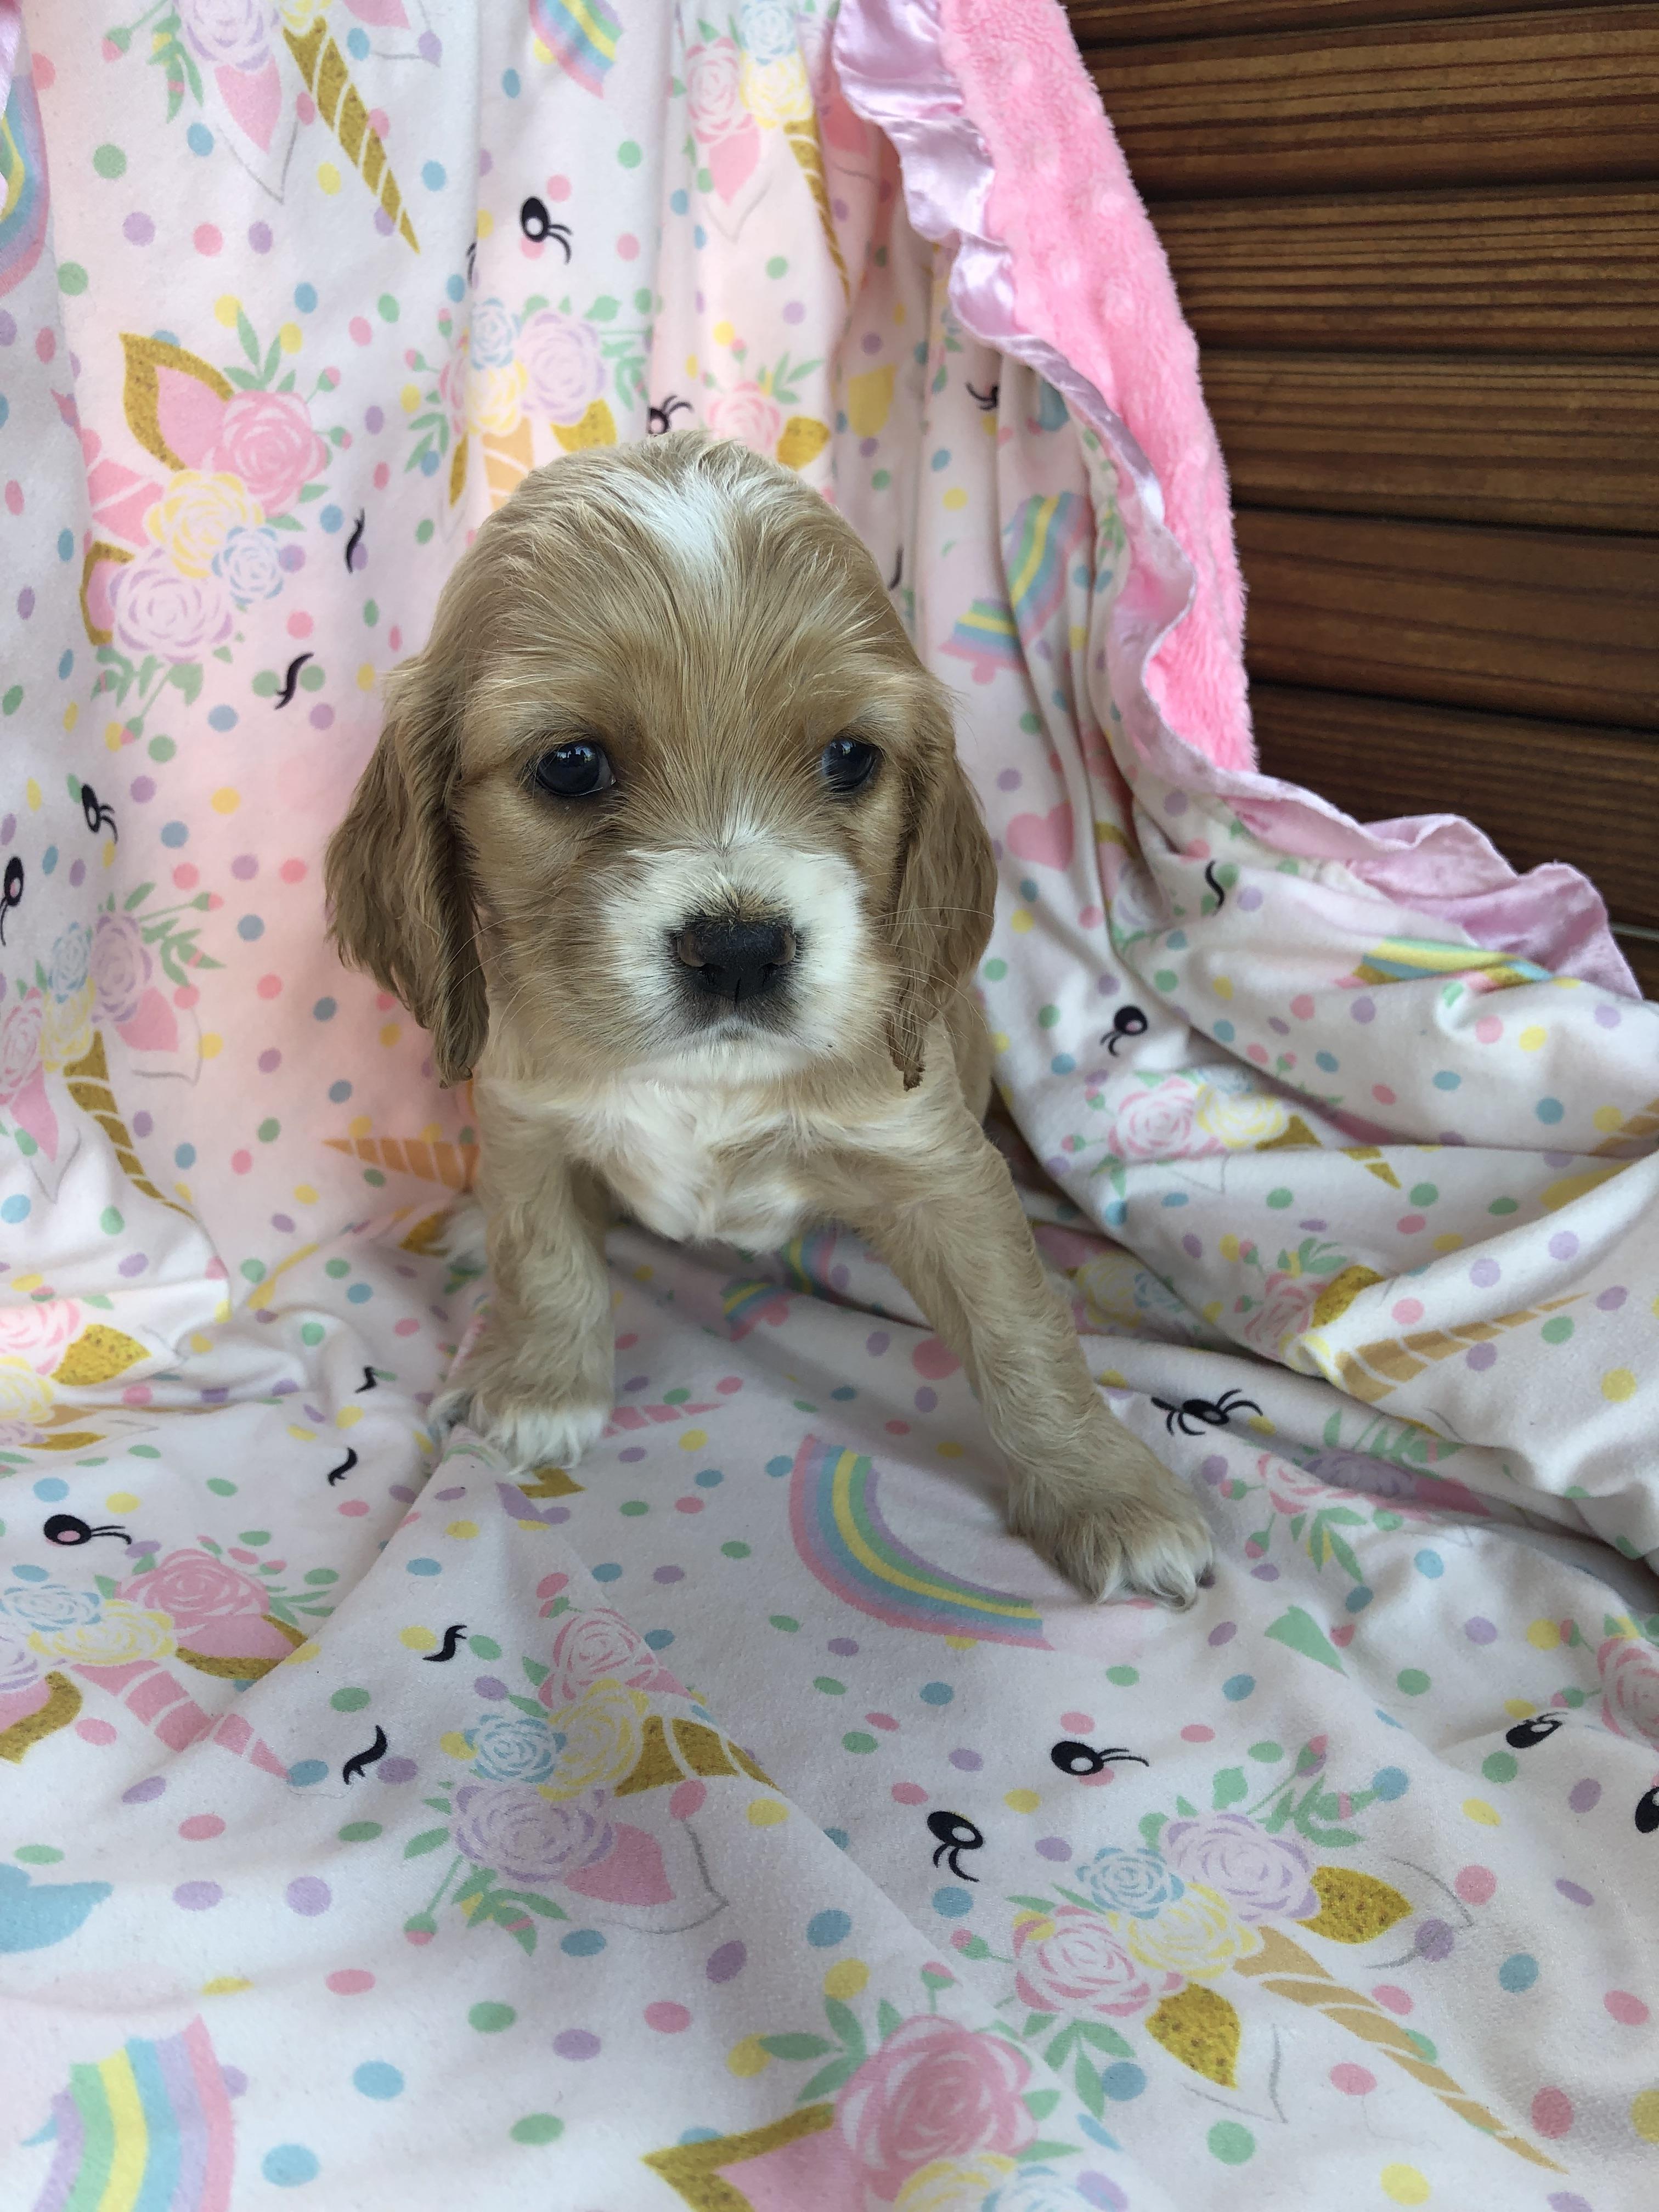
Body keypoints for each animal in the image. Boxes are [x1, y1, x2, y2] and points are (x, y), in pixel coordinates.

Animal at [324, 430, 1212, 1604]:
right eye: (569, 764)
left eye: (849, 757)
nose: (740, 948)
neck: (709, 1076)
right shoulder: (521, 1128)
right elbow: (541, 1255)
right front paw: (538, 1386)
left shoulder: (939, 1169)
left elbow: (1022, 1329)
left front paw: (1105, 1495)